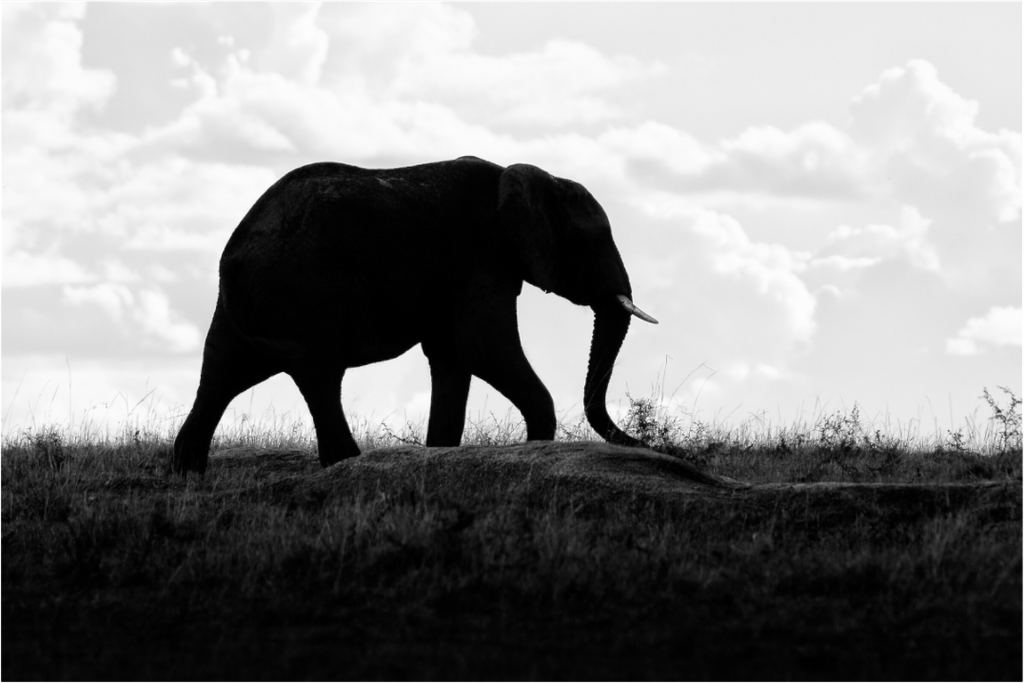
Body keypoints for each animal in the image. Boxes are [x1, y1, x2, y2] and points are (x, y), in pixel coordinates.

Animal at [171, 156, 657, 474]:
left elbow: (453, 357)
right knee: (319, 374)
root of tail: (234, 255)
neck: (530, 177)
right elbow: (484, 349)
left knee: (220, 372)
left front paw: (440, 453)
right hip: (307, 292)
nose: (650, 443)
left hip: (252, 305)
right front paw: (535, 448)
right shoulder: (481, 255)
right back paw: (346, 464)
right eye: (595, 241)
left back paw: (188, 472)